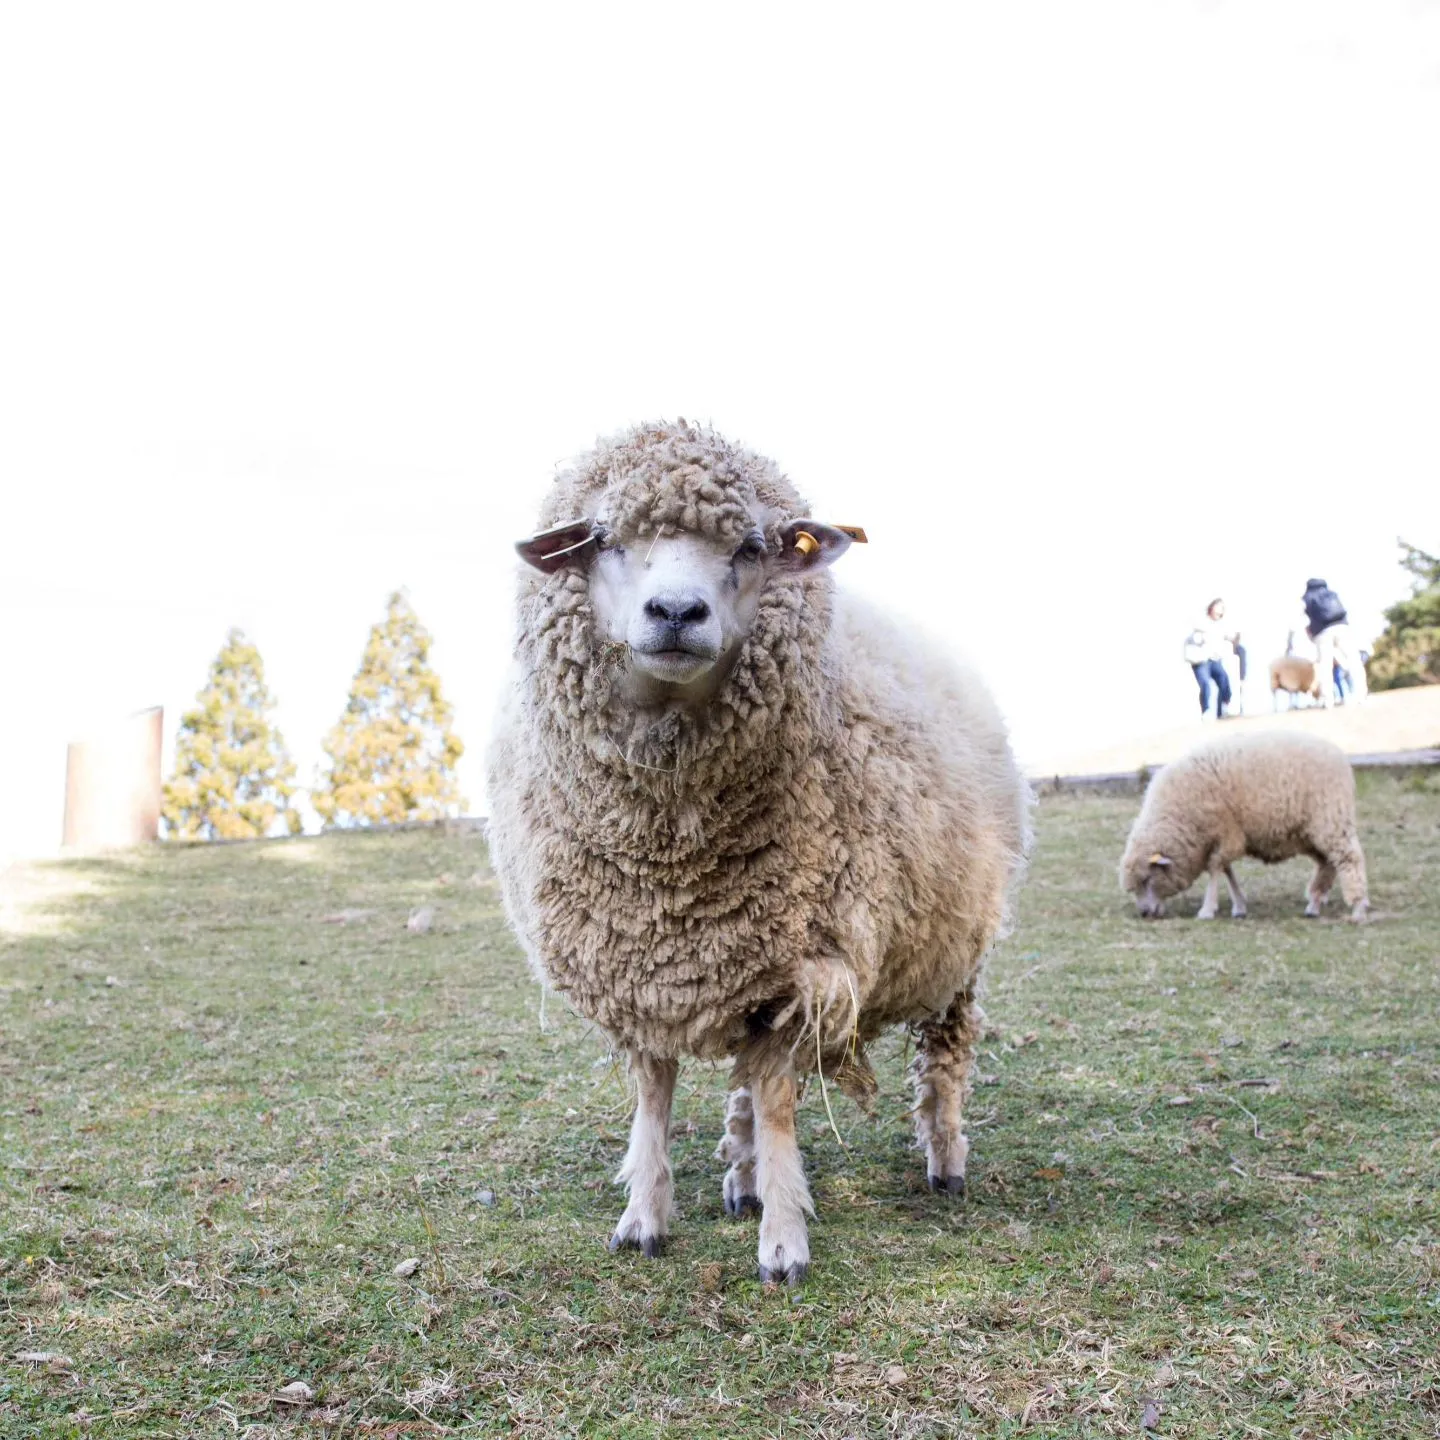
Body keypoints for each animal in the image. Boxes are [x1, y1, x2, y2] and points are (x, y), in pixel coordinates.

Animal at [489, 417, 1031, 1284]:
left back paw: (944, 1159)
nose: (677, 610)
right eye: (603, 539)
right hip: (737, 963)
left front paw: (783, 1241)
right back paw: (739, 1178)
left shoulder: (801, 968)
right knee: (742, 1085)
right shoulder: (641, 966)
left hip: (957, 948)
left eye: (751, 545)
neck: (669, 853)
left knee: (944, 1055)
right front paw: (644, 1217)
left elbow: (779, 1107)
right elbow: (656, 1099)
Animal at [1117, 731, 1365, 921]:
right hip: (1310, 833)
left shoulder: (1227, 833)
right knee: (1327, 863)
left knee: (1349, 858)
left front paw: (1208, 909)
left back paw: (1358, 907)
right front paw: (1239, 906)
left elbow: (1215, 867)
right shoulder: (1226, 838)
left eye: (1147, 879)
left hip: (1331, 818)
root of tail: (1339, 755)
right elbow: (1226, 869)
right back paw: (1314, 904)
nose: (1144, 913)